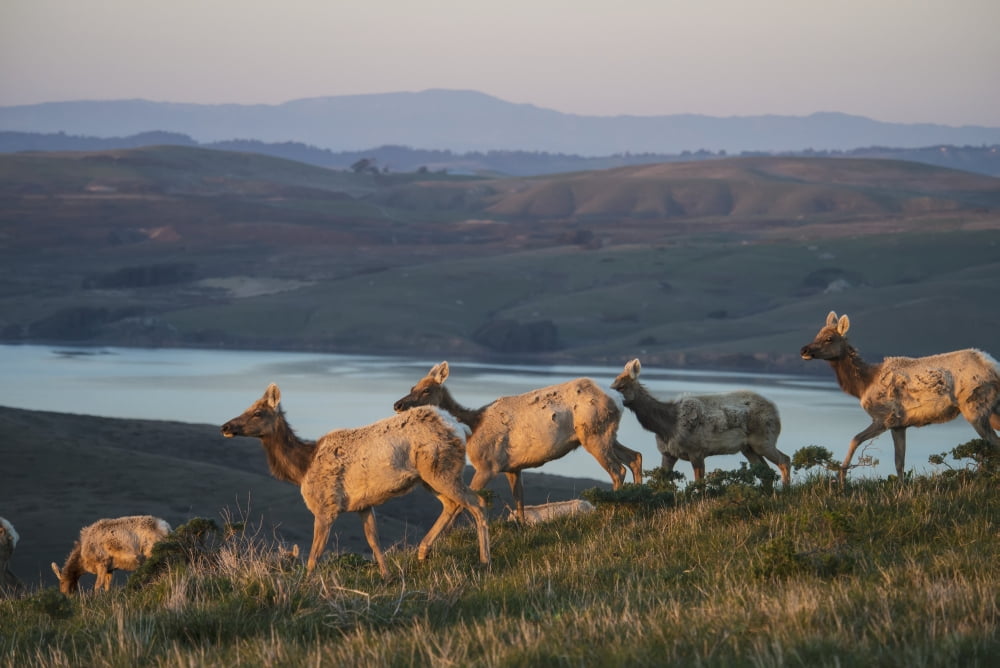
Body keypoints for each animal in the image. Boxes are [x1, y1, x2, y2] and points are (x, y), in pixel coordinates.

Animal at [221, 383, 490, 578]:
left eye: (257, 412)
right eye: (246, 408)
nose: (225, 426)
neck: (302, 468)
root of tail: (460, 429)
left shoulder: (326, 505)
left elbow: (315, 554)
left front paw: (305, 583)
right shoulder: (363, 505)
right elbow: (373, 541)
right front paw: (387, 576)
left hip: (440, 468)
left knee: (477, 502)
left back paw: (485, 560)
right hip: (428, 477)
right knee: (452, 504)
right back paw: (423, 552)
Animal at [393, 361, 642, 523]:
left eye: (426, 390)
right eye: (412, 387)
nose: (397, 405)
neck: (472, 428)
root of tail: (617, 399)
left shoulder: (488, 464)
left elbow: (463, 503)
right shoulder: (513, 467)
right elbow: (519, 502)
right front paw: (522, 530)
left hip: (594, 433)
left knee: (618, 469)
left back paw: (611, 513)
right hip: (606, 433)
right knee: (635, 456)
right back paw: (637, 501)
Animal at [611, 358, 790, 485]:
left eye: (622, 386)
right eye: (613, 383)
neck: (665, 426)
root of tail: (777, 411)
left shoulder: (697, 451)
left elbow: (699, 486)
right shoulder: (668, 454)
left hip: (764, 439)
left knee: (785, 460)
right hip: (748, 448)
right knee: (766, 471)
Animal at [801, 311, 1000, 483]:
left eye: (829, 338)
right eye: (817, 334)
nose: (804, 349)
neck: (863, 385)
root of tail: (994, 367)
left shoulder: (883, 417)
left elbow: (855, 440)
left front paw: (841, 481)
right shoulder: (899, 424)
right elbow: (899, 462)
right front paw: (901, 489)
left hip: (975, 407)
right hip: (992, 409)